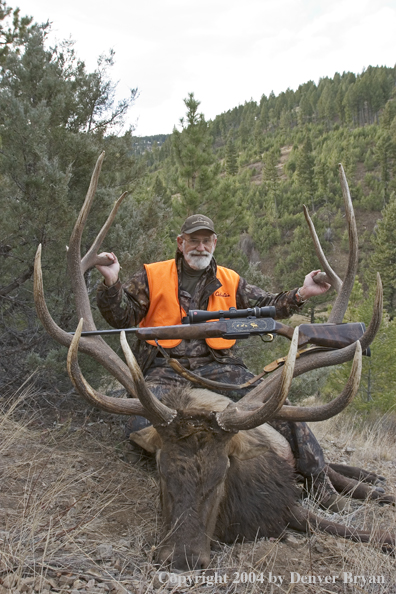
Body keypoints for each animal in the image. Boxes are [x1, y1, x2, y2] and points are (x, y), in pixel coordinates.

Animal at [34, 154, 396, 568]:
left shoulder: (287, 499)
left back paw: (377, 485)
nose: (183, 556)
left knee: (330, 478)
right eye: (161, 469)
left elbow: (368, 532)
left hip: (305, 451)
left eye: (224, 470)